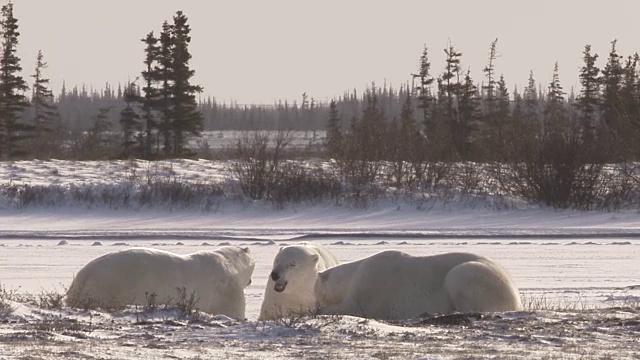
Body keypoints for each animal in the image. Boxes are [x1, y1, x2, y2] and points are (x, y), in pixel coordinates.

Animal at [66, 246, 254, 320]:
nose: (251, 280)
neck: (231, 263)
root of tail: (82, 277)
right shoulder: (227, 291)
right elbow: (232, 311)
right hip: (108, 286)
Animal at [314, 250, 520, 320]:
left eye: (315, 289)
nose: (315, 304)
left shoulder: (369, 284)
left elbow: (352, 307)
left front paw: (320, 310)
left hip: (475, 275)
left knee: (459, 277)